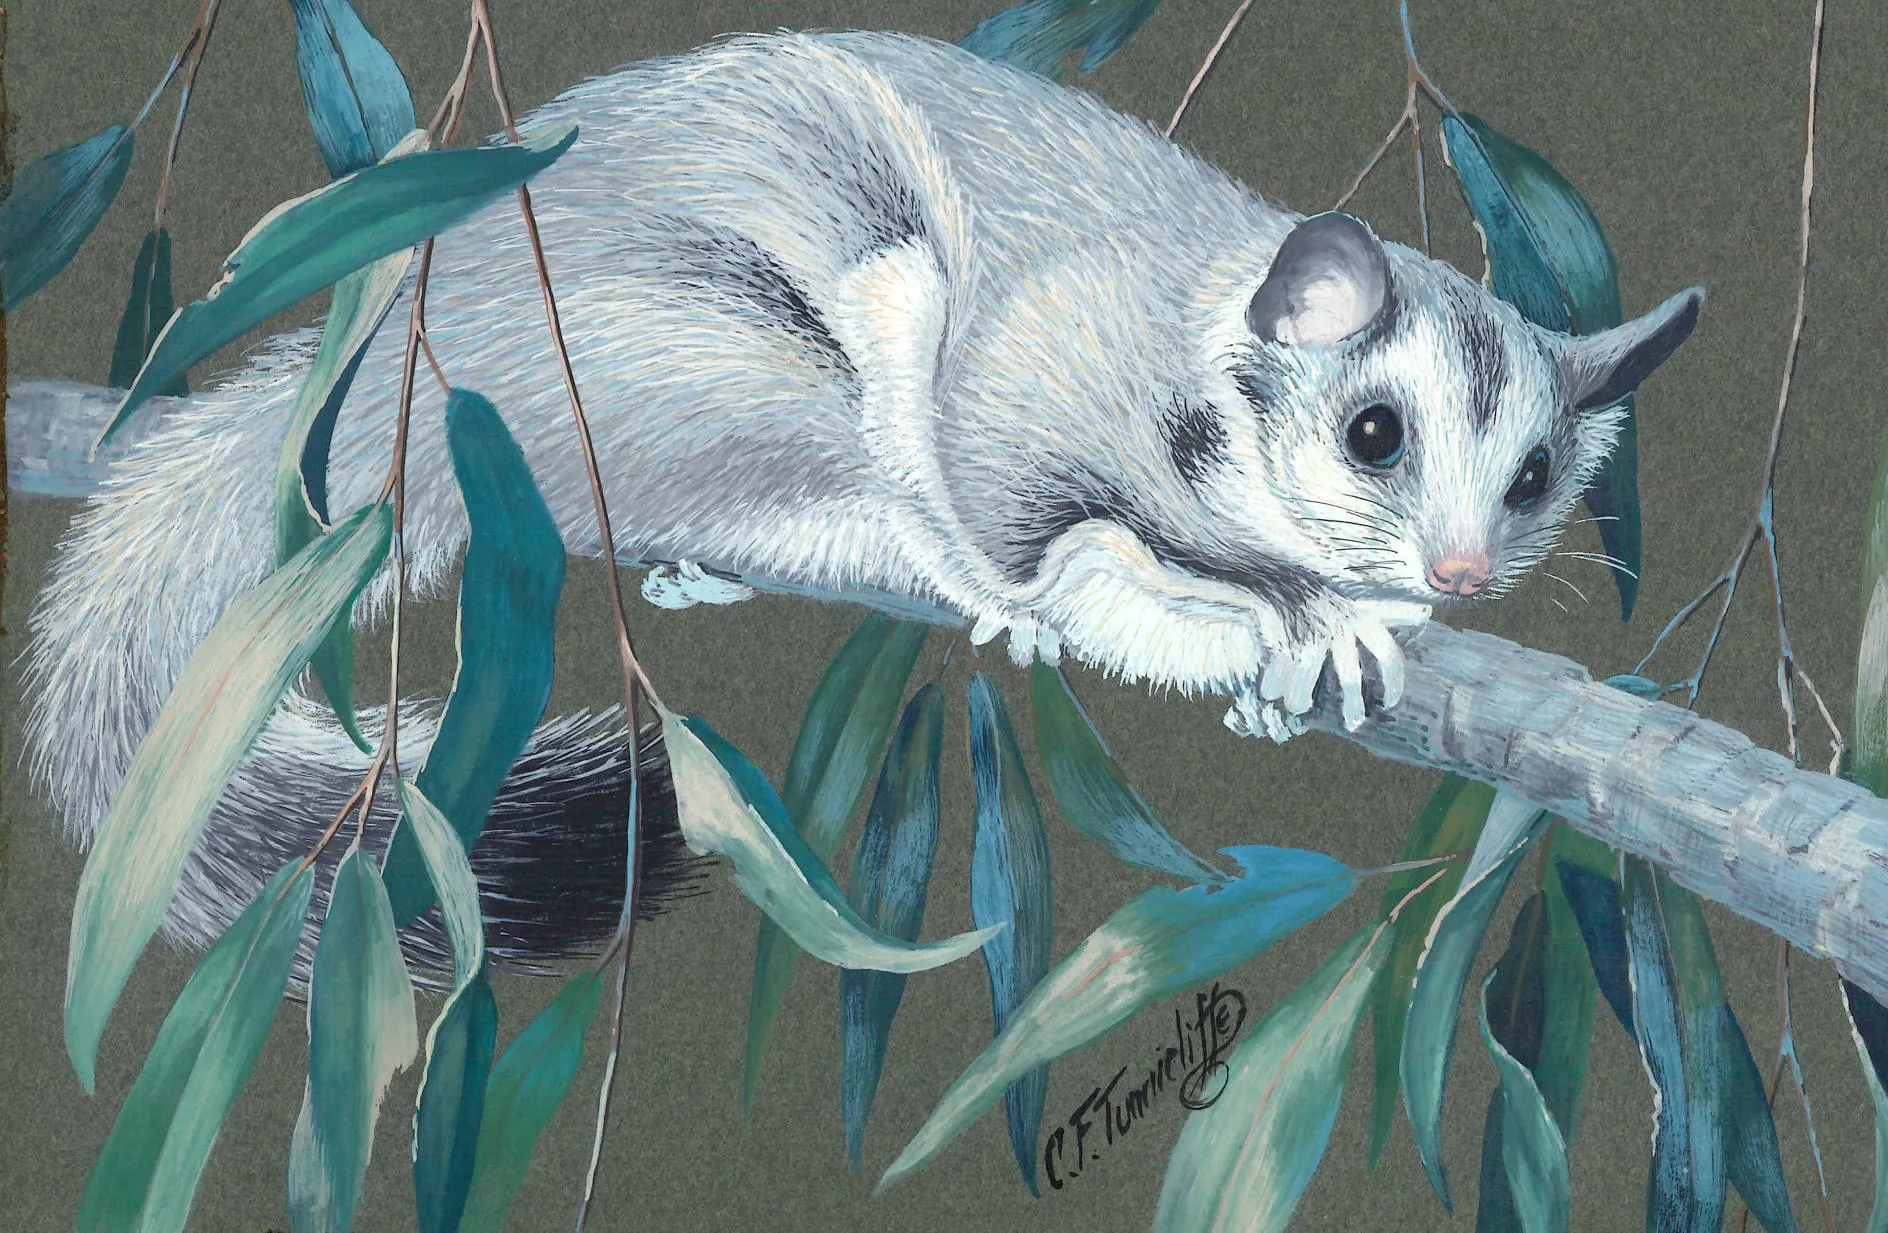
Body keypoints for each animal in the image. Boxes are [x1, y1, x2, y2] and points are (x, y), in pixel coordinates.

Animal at [9, 30, 1703, 982]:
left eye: (1536, 479)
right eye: (1373, 434)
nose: (1464, 573)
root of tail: (394, 374)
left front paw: (1322, 637)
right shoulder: (1046, 390)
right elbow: (1053, 531)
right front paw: (1281, 610)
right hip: (681, 349)